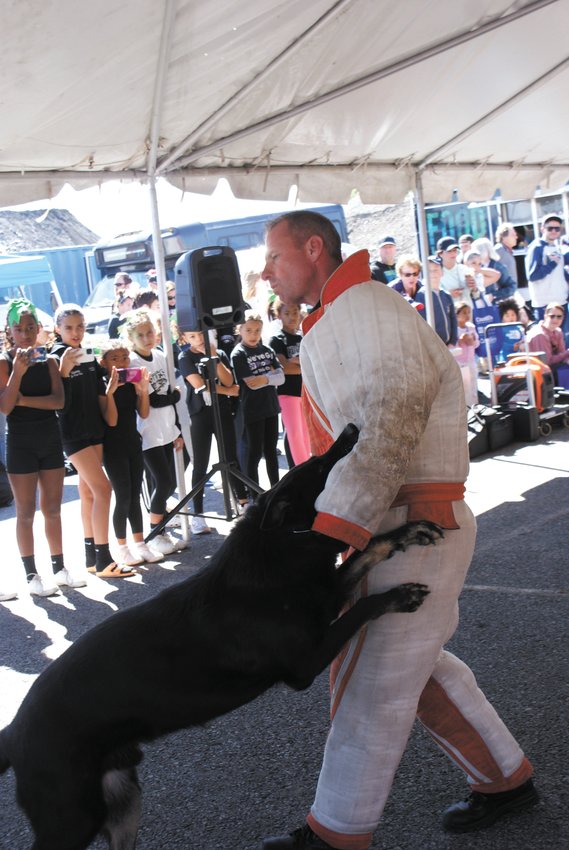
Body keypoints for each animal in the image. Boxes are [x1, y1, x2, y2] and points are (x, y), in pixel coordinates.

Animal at [0, 424, 440, 848]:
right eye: (317, 465)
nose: (350, 428)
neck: (278, 541)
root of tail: (14, 731)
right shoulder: (306, 661)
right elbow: (363, 607)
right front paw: (398, 596)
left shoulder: (326, 597)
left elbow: (369, 551)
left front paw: (408, 532)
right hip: (73, 817)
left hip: (123, 804)